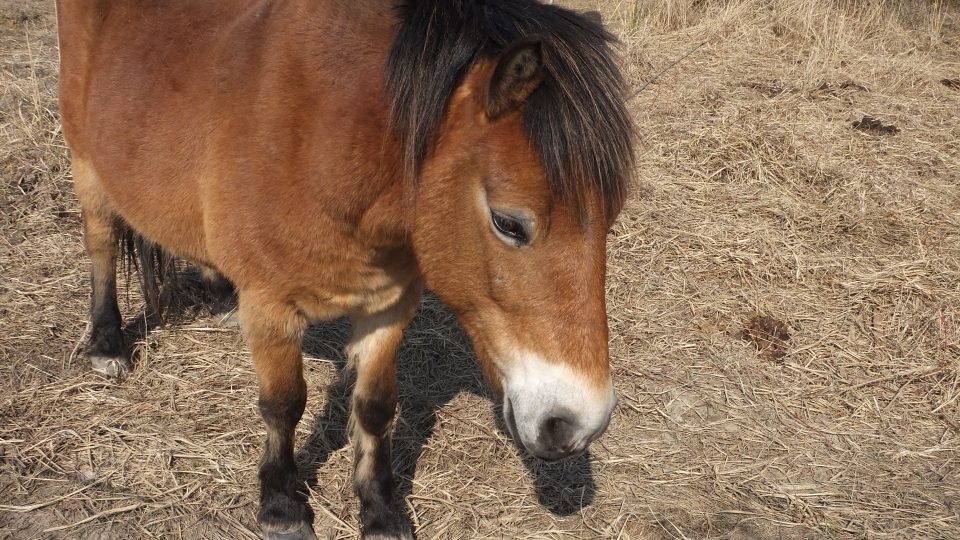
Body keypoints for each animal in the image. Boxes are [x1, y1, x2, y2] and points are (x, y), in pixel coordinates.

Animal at [56, 1, 632, 536]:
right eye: (509, 223)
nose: (579, 424)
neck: (325, 139)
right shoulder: (272, 306)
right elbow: (284, 404)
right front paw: (282, 507)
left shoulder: (389, 304)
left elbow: (376, 406)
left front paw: (380, 511)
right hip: (85, 158)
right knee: (100, 243)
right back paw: (106, 343)